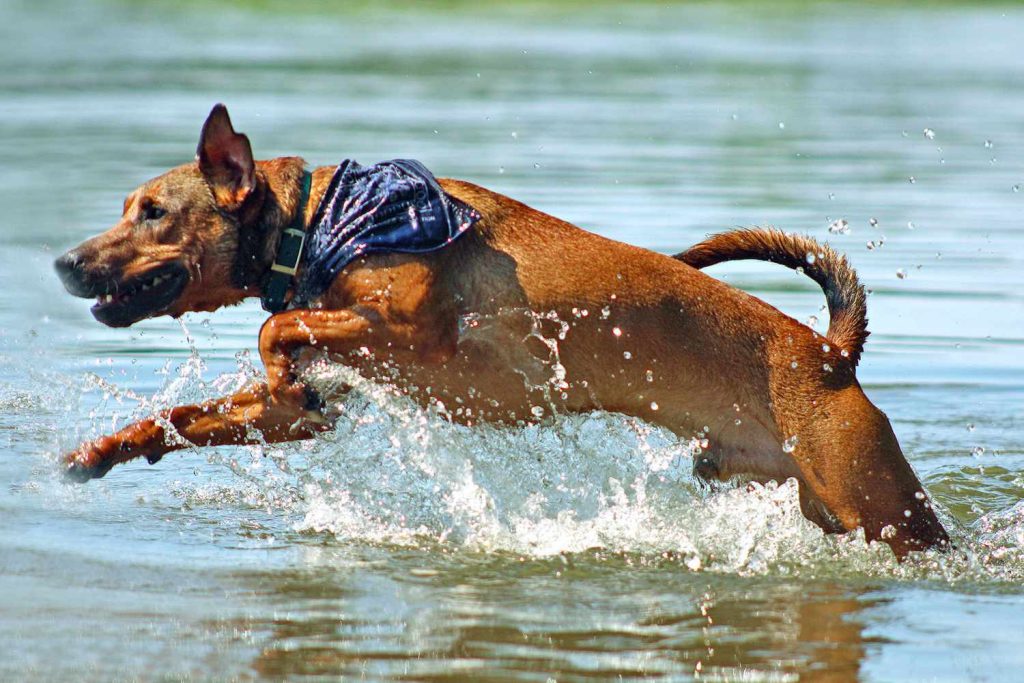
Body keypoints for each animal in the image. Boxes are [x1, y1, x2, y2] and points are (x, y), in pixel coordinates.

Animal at [56, 104, 950, 557]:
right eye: (129, 206)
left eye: (152, 211)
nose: (65, 261)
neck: (316, 224)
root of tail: (829, 353)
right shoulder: (300, 408)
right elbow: (184, 416)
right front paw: (100, 451)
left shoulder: (414, 326)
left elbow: (278, 332)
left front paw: (280, 351)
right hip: (808, 495)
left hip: (878, 502)